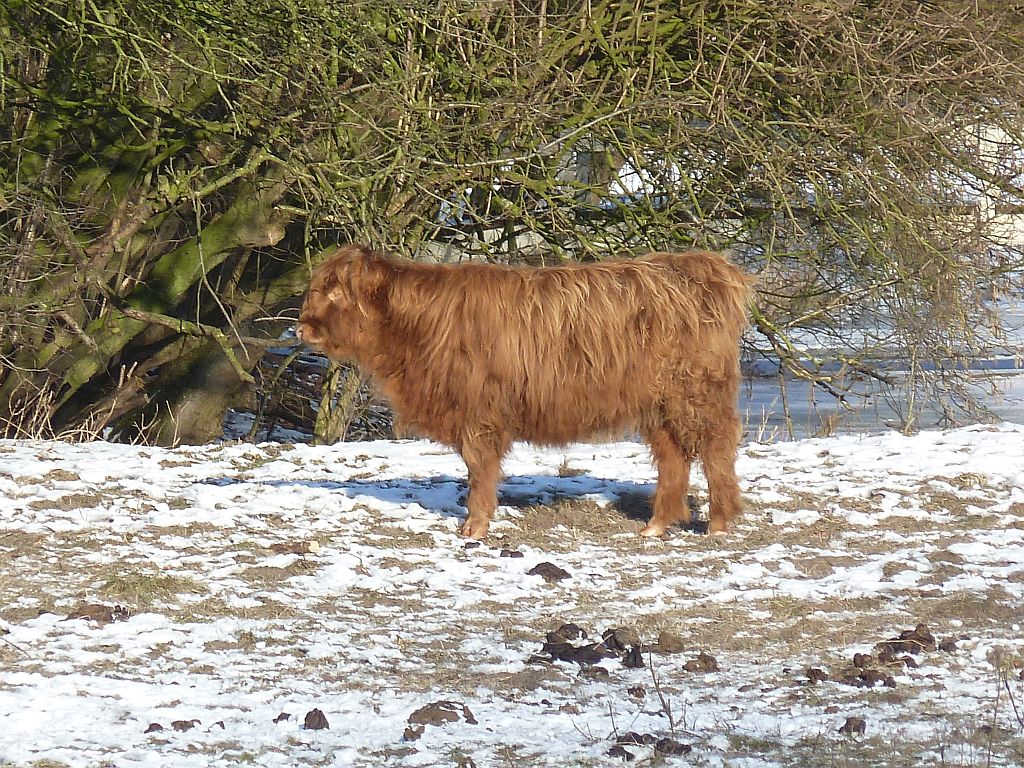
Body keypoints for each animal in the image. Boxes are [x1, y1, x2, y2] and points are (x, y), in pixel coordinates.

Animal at [296, 246, 753, 540]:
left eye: (335, 292)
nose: (302, 328)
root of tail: (706, 267)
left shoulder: (479, 413)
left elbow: (479, 469)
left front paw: (474, 528)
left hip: (697, 394)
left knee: (717, 447)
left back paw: (719, 523)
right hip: (659, 404)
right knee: (674, 455)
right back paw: (656, 526)